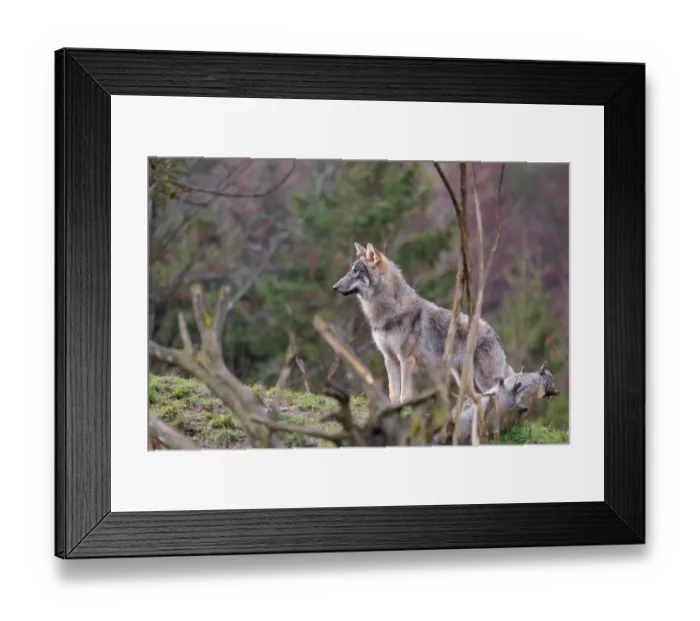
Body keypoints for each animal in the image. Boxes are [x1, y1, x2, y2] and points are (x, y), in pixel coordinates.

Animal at [332, 242, 511, 404]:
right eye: (350, 271)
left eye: (356, 272)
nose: (334, 287)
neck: (387, 313)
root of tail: (495, 334)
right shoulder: (389, 359)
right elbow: (393, 396)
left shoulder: (406, 359)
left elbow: (404, 396)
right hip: (463, 380)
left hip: (485, 380)